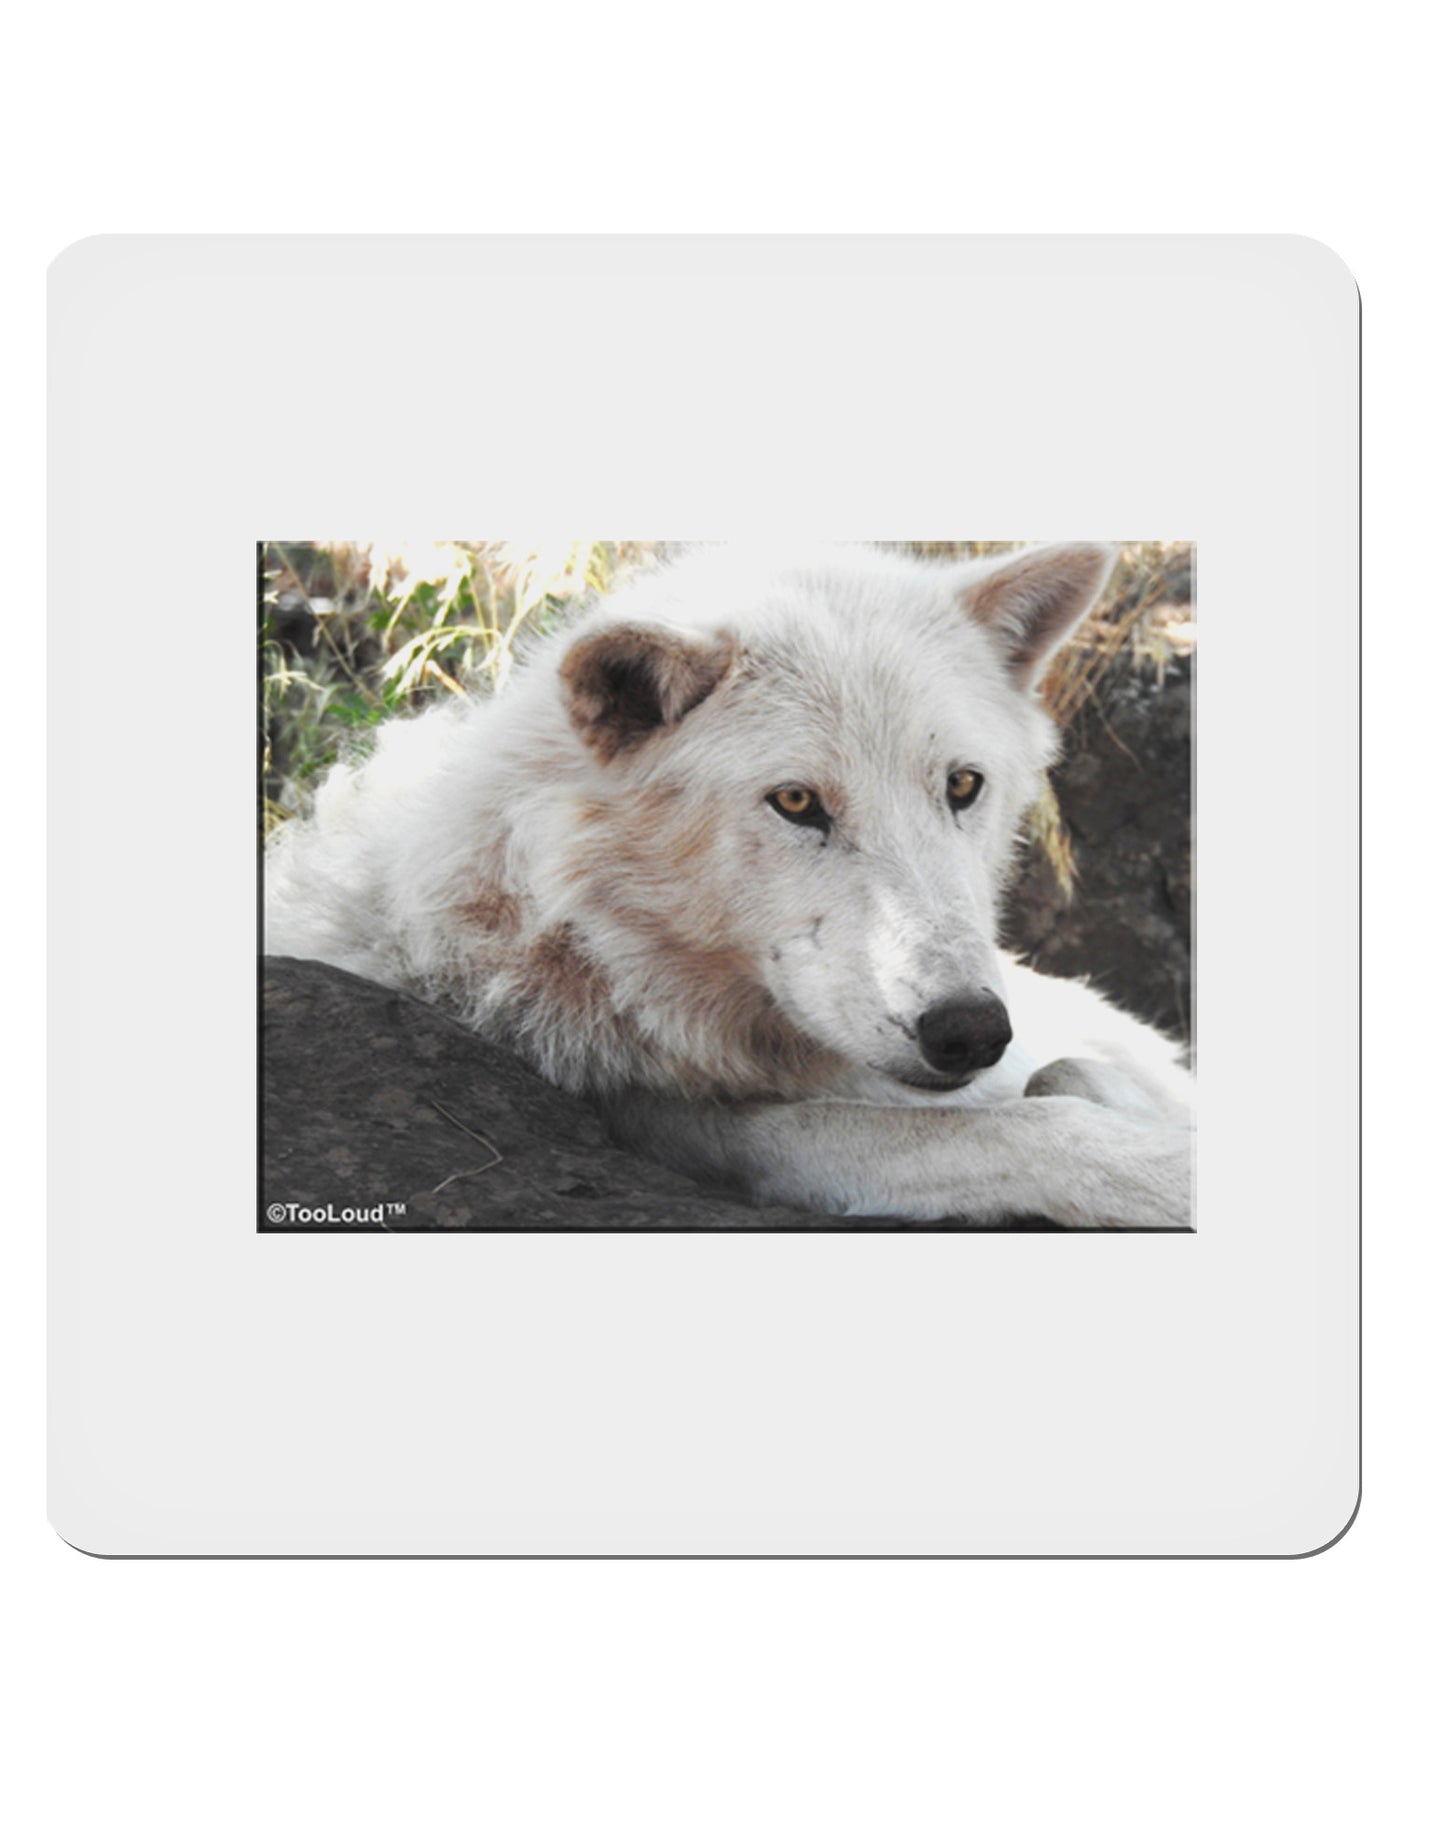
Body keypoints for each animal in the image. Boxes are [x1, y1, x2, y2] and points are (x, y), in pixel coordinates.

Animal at [265, 542, 1194, 1227]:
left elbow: (1061, 1081)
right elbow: (1026, 1120)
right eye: (796, 802)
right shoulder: (674, 1119)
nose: (969, 1031)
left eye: (962, 786)